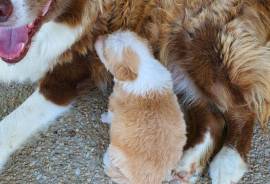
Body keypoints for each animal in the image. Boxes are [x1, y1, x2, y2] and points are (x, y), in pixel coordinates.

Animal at [94, 31, 186, 184]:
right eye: (111, 34)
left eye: (105, 51)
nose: (97, 37)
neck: (143, 66)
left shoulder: (114, 105)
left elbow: (109, 115)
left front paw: (103, 118)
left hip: (115, 151)